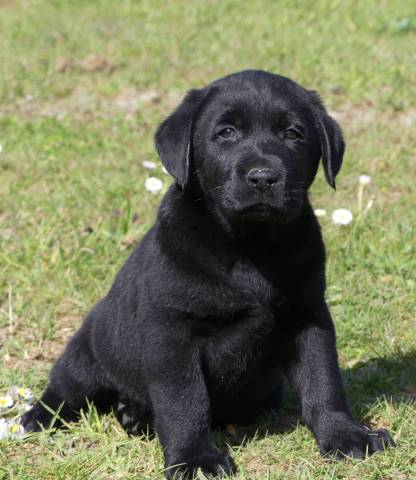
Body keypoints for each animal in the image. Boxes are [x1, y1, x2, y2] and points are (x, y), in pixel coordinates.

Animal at [22, 69, 394, 478]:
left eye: (293, 133)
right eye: (226, 132)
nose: (263, 177)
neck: (249, 247)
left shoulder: (308, 316)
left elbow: (323, 381)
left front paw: (345, 435)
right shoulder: (172, 333)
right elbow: (184, 402)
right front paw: (195, 458)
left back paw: (134, 415)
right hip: (88, 350)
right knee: (65, 388)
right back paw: (39, 417)